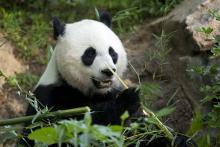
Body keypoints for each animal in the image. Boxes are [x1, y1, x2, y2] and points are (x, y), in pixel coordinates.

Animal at [18, 12, 197, 147]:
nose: (108, 71)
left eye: (112, 52)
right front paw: (127, 99)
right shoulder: (49, 100)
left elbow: (142, 131)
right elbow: (61, 130)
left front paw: (177, 139)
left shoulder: (112, 92)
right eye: (90, 54)